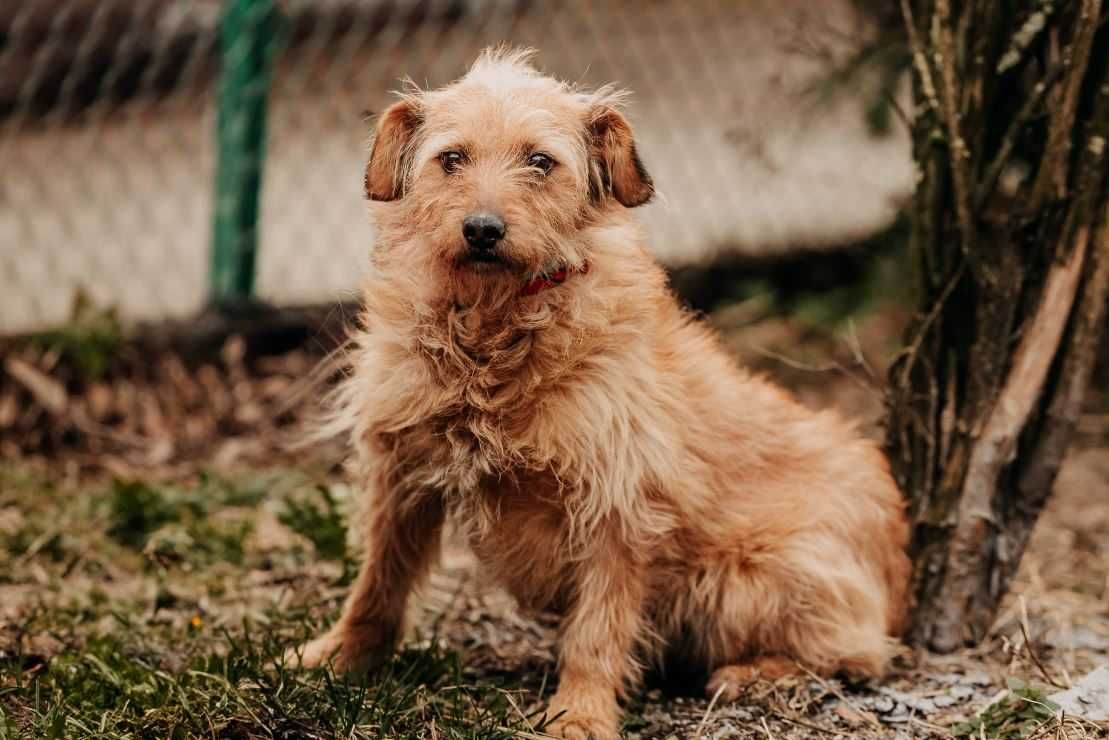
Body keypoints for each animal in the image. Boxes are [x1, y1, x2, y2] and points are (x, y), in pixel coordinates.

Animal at [290, 49, 913, 736]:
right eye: (451, 158)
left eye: (540, 161)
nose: (482, 229)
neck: (494, 330)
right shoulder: (399, 474)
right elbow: (377, 583)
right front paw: (338, 657)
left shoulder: (617, 505)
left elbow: (598, 627)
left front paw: (579, 714)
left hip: (752, 577)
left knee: (860, 655)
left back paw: (753, 675)